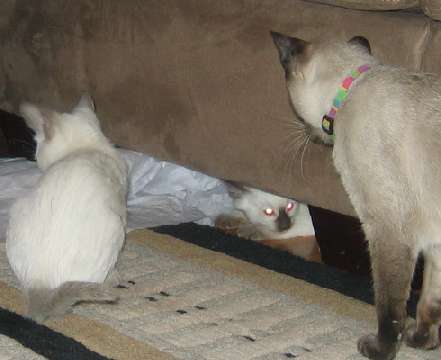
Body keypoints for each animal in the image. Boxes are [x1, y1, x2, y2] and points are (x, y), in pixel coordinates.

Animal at [270, 32, 440, 358]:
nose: (307, 135)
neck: (350, 90)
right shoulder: (435, 243)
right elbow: (429, 302)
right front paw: (422, 341)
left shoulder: (387, 230)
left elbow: (389, 308)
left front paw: (380, 350)